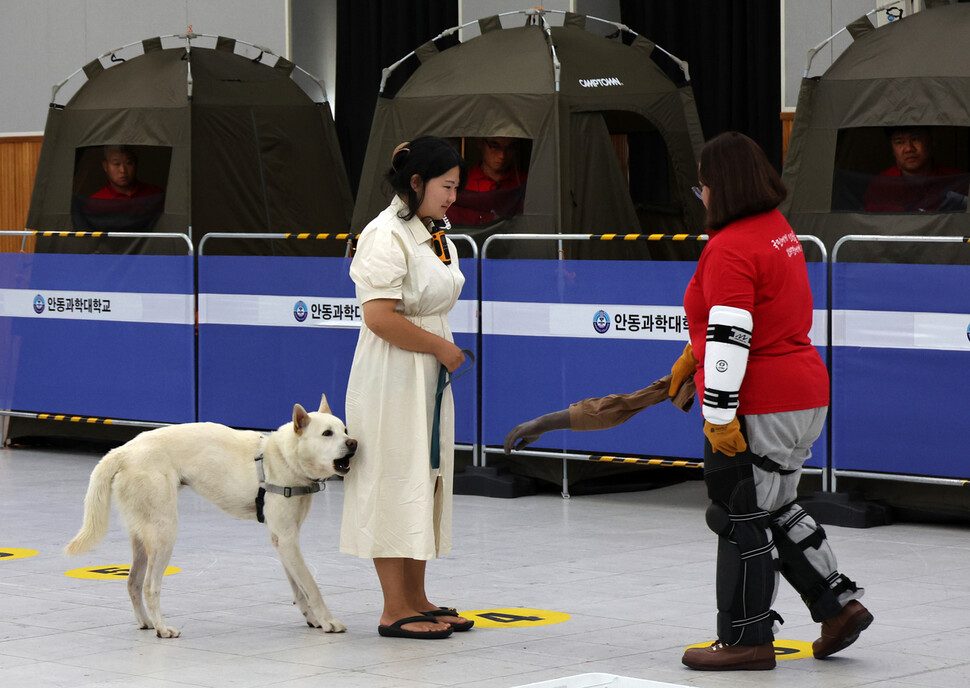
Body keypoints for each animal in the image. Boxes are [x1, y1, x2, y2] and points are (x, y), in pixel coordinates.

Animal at [66, 396, 358, 636]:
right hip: (164, 533)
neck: (284, 456)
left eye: (345, 430)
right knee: (150, 586)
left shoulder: (283, 539)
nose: (354, 443)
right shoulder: (287, 539)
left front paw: (313, 619)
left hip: (142, 534)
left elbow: (299, 587)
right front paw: (329, 621)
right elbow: (311, 584)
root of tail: (123, 450)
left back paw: (146, 622)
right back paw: (162, 628)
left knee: (132, 582)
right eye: (327, 434)